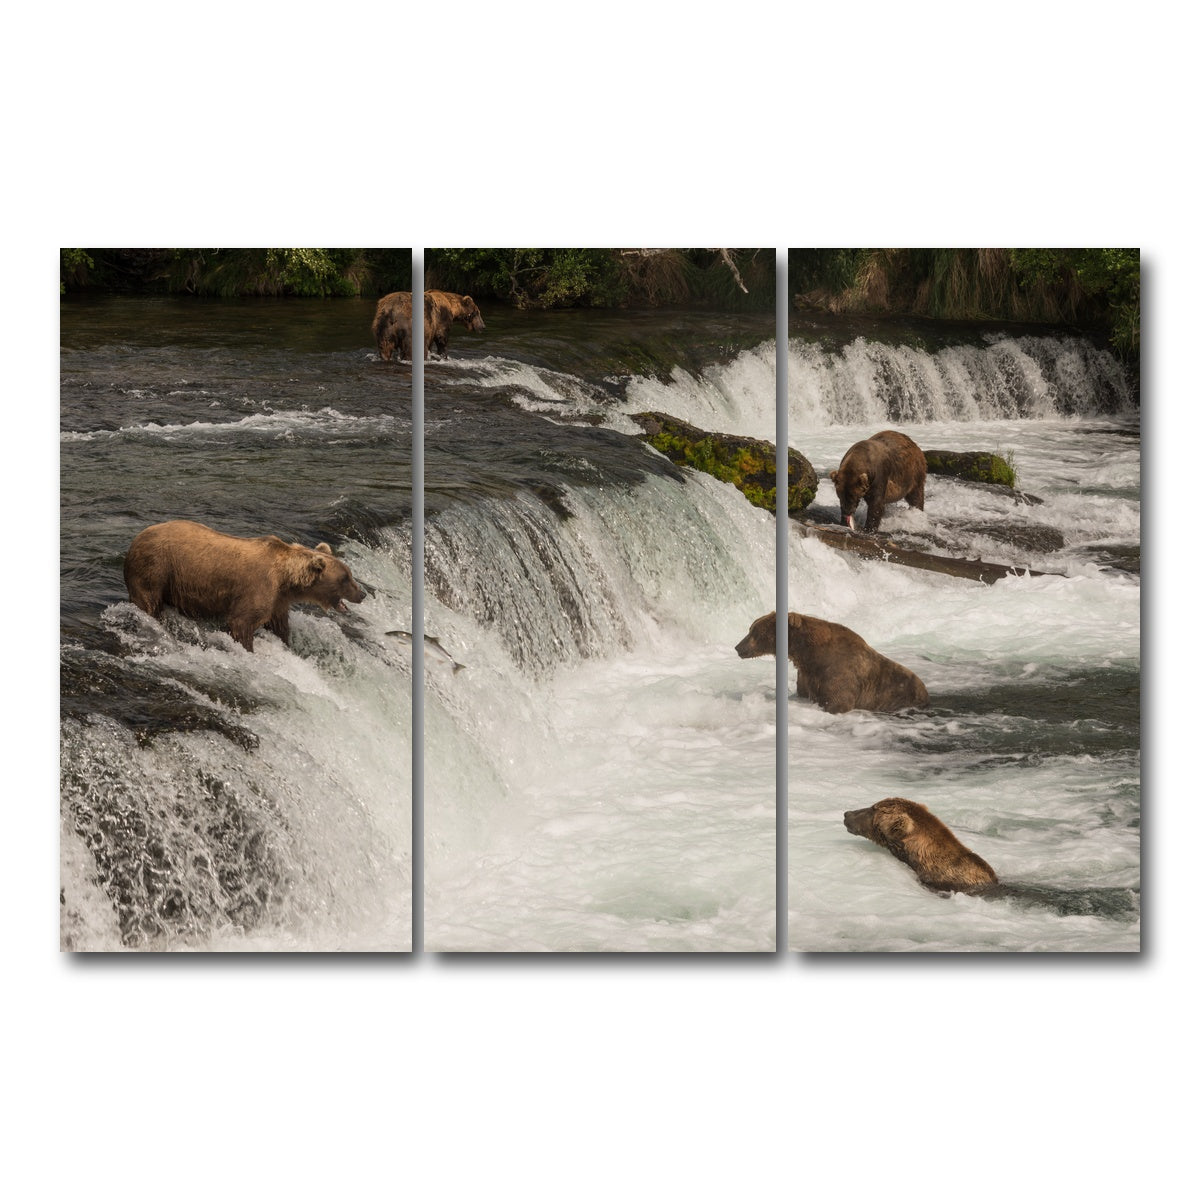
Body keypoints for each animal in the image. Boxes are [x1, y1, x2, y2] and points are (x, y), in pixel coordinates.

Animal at [123, 520, 366, 652]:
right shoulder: (258, 588)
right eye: (345, 578)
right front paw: (249, 649)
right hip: (156, 568)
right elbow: (242, 623)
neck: (286, 580)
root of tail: (136, 539)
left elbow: (279, 626)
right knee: (149, 601)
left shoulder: (278, 601)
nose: (363, 593)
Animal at [735, 611, 929, 714]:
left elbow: (838, 701)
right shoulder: (807, 675)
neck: (809, 654)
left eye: (754, 631)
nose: (737, 647)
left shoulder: (838, 671)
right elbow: (803, 692)